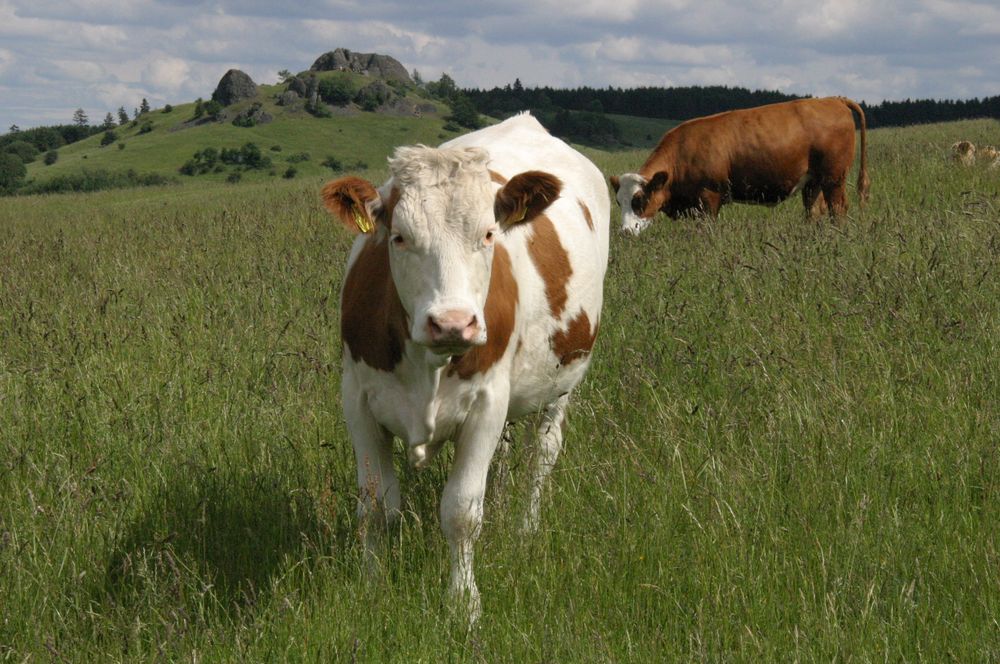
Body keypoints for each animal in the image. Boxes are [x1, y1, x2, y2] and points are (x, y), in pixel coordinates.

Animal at [320, 113, 608, 616]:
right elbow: (375, 505)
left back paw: (525, 528)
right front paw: (372, 587)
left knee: (542, 453)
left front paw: (463, 603)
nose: (452, 323)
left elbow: (461, 511)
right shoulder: (357, 399)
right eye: (399, 237)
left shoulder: (487, 402)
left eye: (488, 235)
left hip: (563, 381)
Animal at [608, 96, 868, 233]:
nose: (626, 232)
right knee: (813, 211)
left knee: (838, 209)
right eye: (619, 202)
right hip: (813, 182)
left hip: (834, 178)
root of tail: (833, 100)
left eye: (639, 200)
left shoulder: (709, 197)